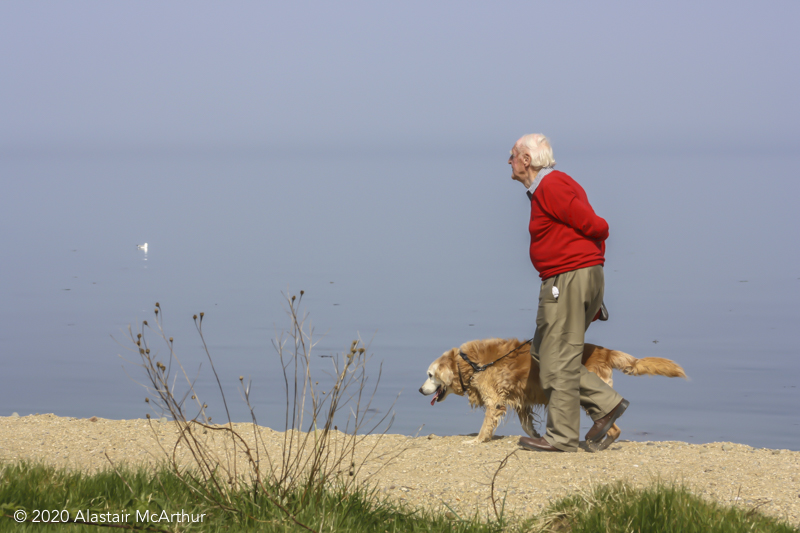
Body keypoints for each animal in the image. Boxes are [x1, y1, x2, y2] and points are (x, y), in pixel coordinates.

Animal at [418, 336, 688, 448]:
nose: (420, 390)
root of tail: (605, 351)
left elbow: (486, 424)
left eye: (430, 375)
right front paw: (536, 435)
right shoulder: (521, 400)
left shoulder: (494, 400)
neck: (470, 363)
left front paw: (476, 440)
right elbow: (526, 424)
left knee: (611, 421)